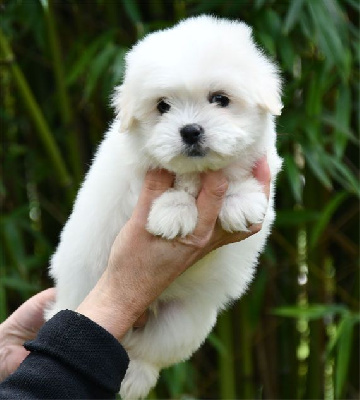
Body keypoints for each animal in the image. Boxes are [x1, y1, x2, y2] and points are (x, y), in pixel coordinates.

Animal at [47, 15, 284, 400]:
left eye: (220, 99)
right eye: (162, 106)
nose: (190, 130)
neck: (200, 172)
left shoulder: (263, 161)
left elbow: (239, 172)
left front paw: (240, 201)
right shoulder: (135, 173)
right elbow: (172, 181)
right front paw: (174, 210)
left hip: (184, 323)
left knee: (147, 354)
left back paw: (134, 376)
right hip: (78, 297)